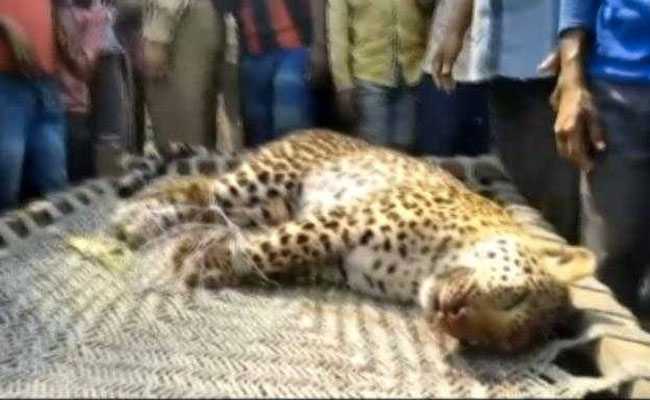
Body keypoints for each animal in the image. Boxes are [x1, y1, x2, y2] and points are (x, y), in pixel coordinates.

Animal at [110, 129, 596, 353]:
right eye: (515, 297)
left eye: (494, 344)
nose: (452, 317)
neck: (423, 272)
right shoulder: (344, 220)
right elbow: (280, 245)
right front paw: (207, 260)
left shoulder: (336, 262)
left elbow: (276, 258)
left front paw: (213, 256)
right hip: (263, 181)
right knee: (201, 187)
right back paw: (135, 218)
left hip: (265, 206)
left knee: (206, 202)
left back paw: (148, 223)